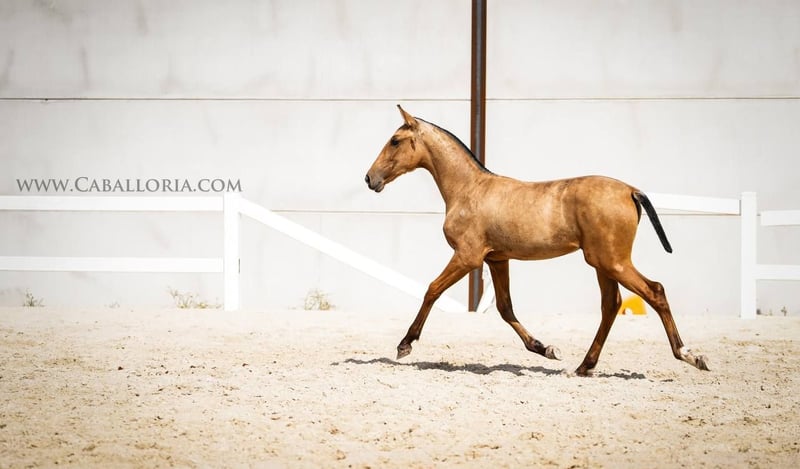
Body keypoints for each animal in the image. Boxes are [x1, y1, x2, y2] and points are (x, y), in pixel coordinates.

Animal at [364, 105, 710, 376]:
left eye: (395, 141)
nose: (369, 178)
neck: (469, 189)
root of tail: (630, 190)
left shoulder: (468, 257)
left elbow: (432, 290)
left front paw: (405, 345)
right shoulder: (497, 259)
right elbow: (505, 308)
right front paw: (545, 349)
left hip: (613, 262)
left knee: (655, 292)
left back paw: (690, 355)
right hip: (603, 264)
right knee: (610, 305)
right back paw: (584, 366)